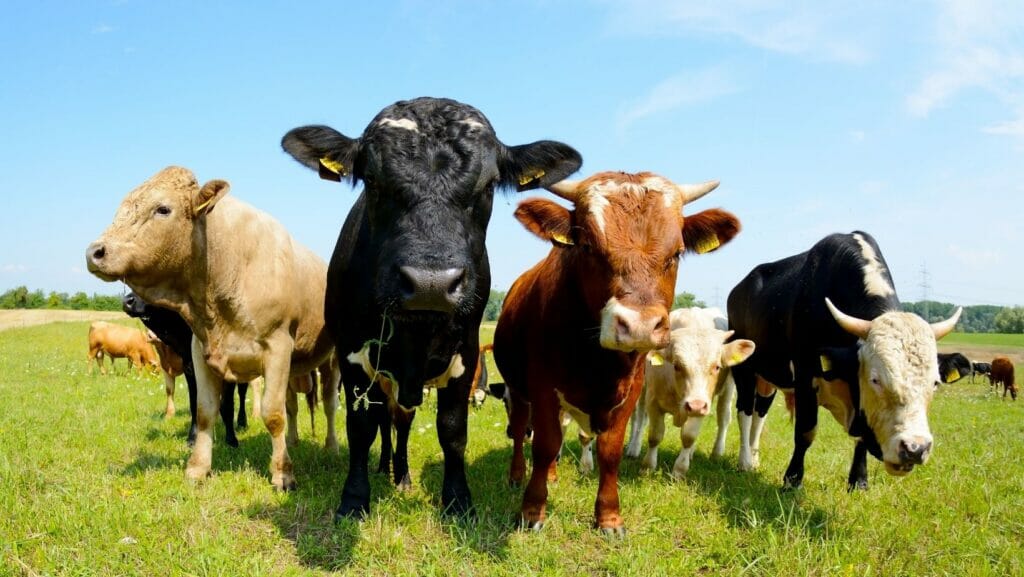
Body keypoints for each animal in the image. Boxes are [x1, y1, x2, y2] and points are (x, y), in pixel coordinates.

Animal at [123, 292, 249, 447]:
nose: (127, 301)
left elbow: (227, 405)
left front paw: (231, 439)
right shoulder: (190, 369)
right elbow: (194, 404)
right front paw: (192, 437)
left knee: (242, 394)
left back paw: (242, 422)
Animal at [281, 97, 582, 519]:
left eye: (489, 185)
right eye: (372, 180)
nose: (430, 283)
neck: (415, 333)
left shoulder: (466, 354)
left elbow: (453, 429)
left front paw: (457, 500)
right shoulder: (352, 354)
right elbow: (361, 427)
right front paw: (354, 499)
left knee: (402, 421)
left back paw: (401, 474)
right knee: (385, 420)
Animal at [493, 171, 740, 534]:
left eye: (677, 253)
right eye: (587, 246)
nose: (639, 325)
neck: (596, 360)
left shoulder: (631, 391)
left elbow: (610, 451)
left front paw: (608, 517)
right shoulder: (542, 388)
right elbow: (545, 443)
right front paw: (532, 511)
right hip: (518, 388)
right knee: (522, 426)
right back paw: (515, 475)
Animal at [625, 307, 755, 478]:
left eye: (717, 367)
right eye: (677, 366)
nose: (695, 405)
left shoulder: (703, 403)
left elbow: (688, 437)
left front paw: (679, 471)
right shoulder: (653, 399)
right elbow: (654, 435)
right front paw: (647, 467)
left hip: (728, 389)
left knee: (723, 417)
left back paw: (715, 453)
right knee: (639, 417)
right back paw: (633, 448)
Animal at [727, 231, 962, 491]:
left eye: (935, 383)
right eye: (875, 380)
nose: (915, 448)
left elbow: (860, 439)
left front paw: (859, 481)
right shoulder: (805, 374)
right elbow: (806, 431)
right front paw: (792, 479)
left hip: (769, 377)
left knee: (760, 413)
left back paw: (754, 459)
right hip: (745, 369)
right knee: (745, 411)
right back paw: (744, 461)